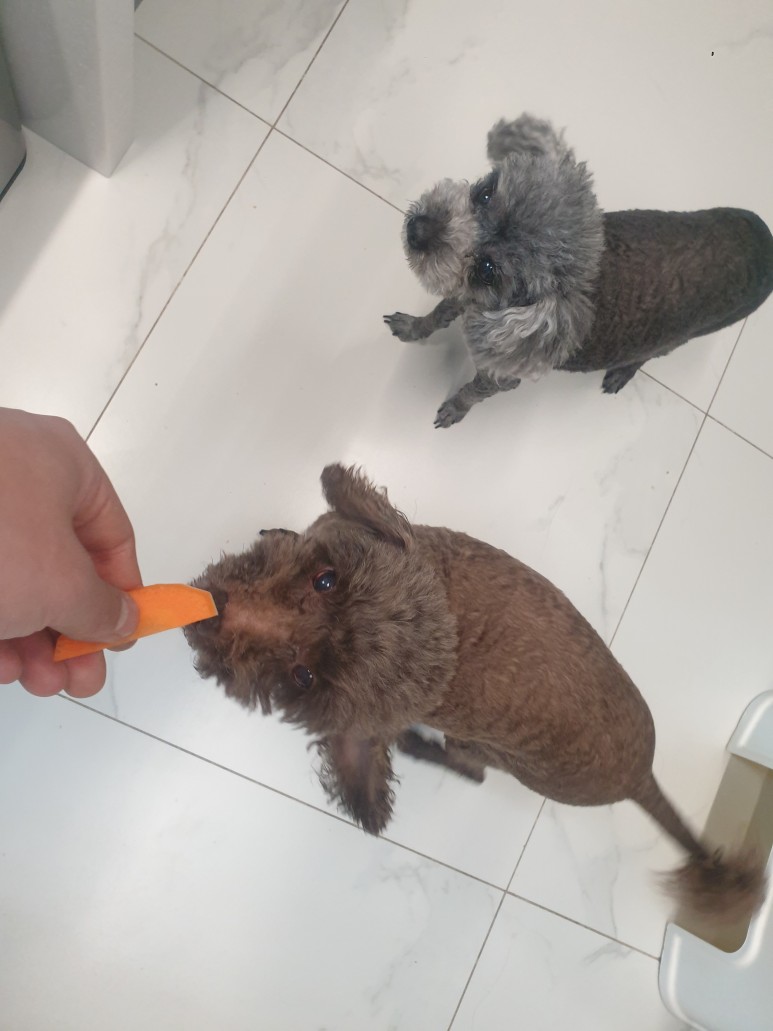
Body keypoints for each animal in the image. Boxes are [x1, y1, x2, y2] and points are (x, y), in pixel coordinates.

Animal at [185, 464, 766, 924]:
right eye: (325, 581)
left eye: (304, 675)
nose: (211, 611)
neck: (451, 623)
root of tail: (640, 777)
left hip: (489, 752)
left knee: (474, 771)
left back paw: (421, 747)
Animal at [385, 114, 773, 427]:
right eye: (485, 194)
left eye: (488, 269)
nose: (416, 229)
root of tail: (765, 240)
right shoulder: (463, 295)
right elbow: (438, 314)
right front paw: (414, 327)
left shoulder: (500, 375)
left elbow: (473, 391)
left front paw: (456, 408)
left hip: (684, 336)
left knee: (649, 355)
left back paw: (621, 372)